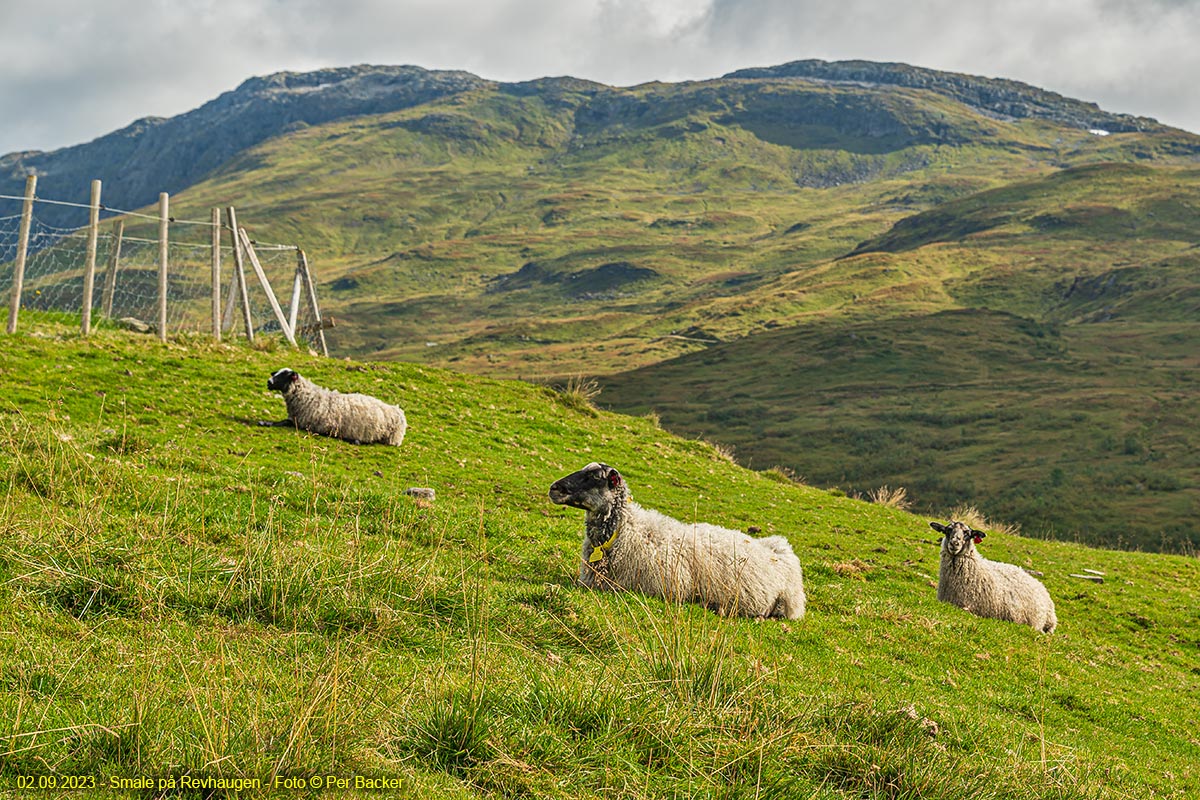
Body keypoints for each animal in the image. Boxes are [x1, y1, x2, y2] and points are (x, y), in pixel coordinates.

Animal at [260, 367, 410, 448]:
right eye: (276, 373)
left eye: (284, 375)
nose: (268, 382)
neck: (307, 396)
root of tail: (397, 411)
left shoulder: (307, 424)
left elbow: (284, 422)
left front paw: (265, 423)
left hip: (390, 439)